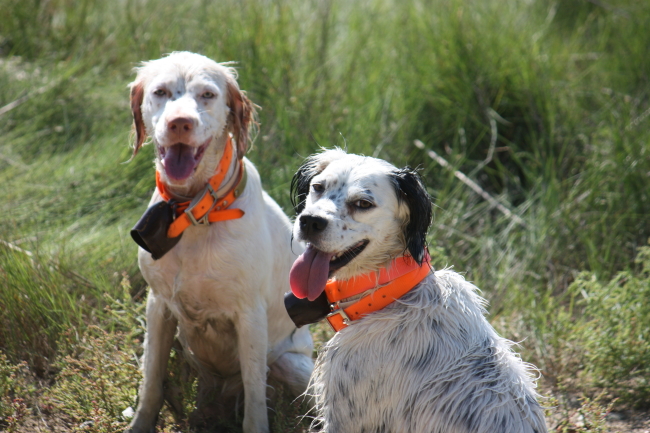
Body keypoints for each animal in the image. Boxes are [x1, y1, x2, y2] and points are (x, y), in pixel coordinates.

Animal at [125, 52, 312, 430]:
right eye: (161, 92)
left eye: (207, 95)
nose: (179, 123)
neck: (194, 211)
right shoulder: (158, 306)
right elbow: (151, 380)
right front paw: (139, 423)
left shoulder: (250, 317)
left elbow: (255, 399)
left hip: (294, 365)